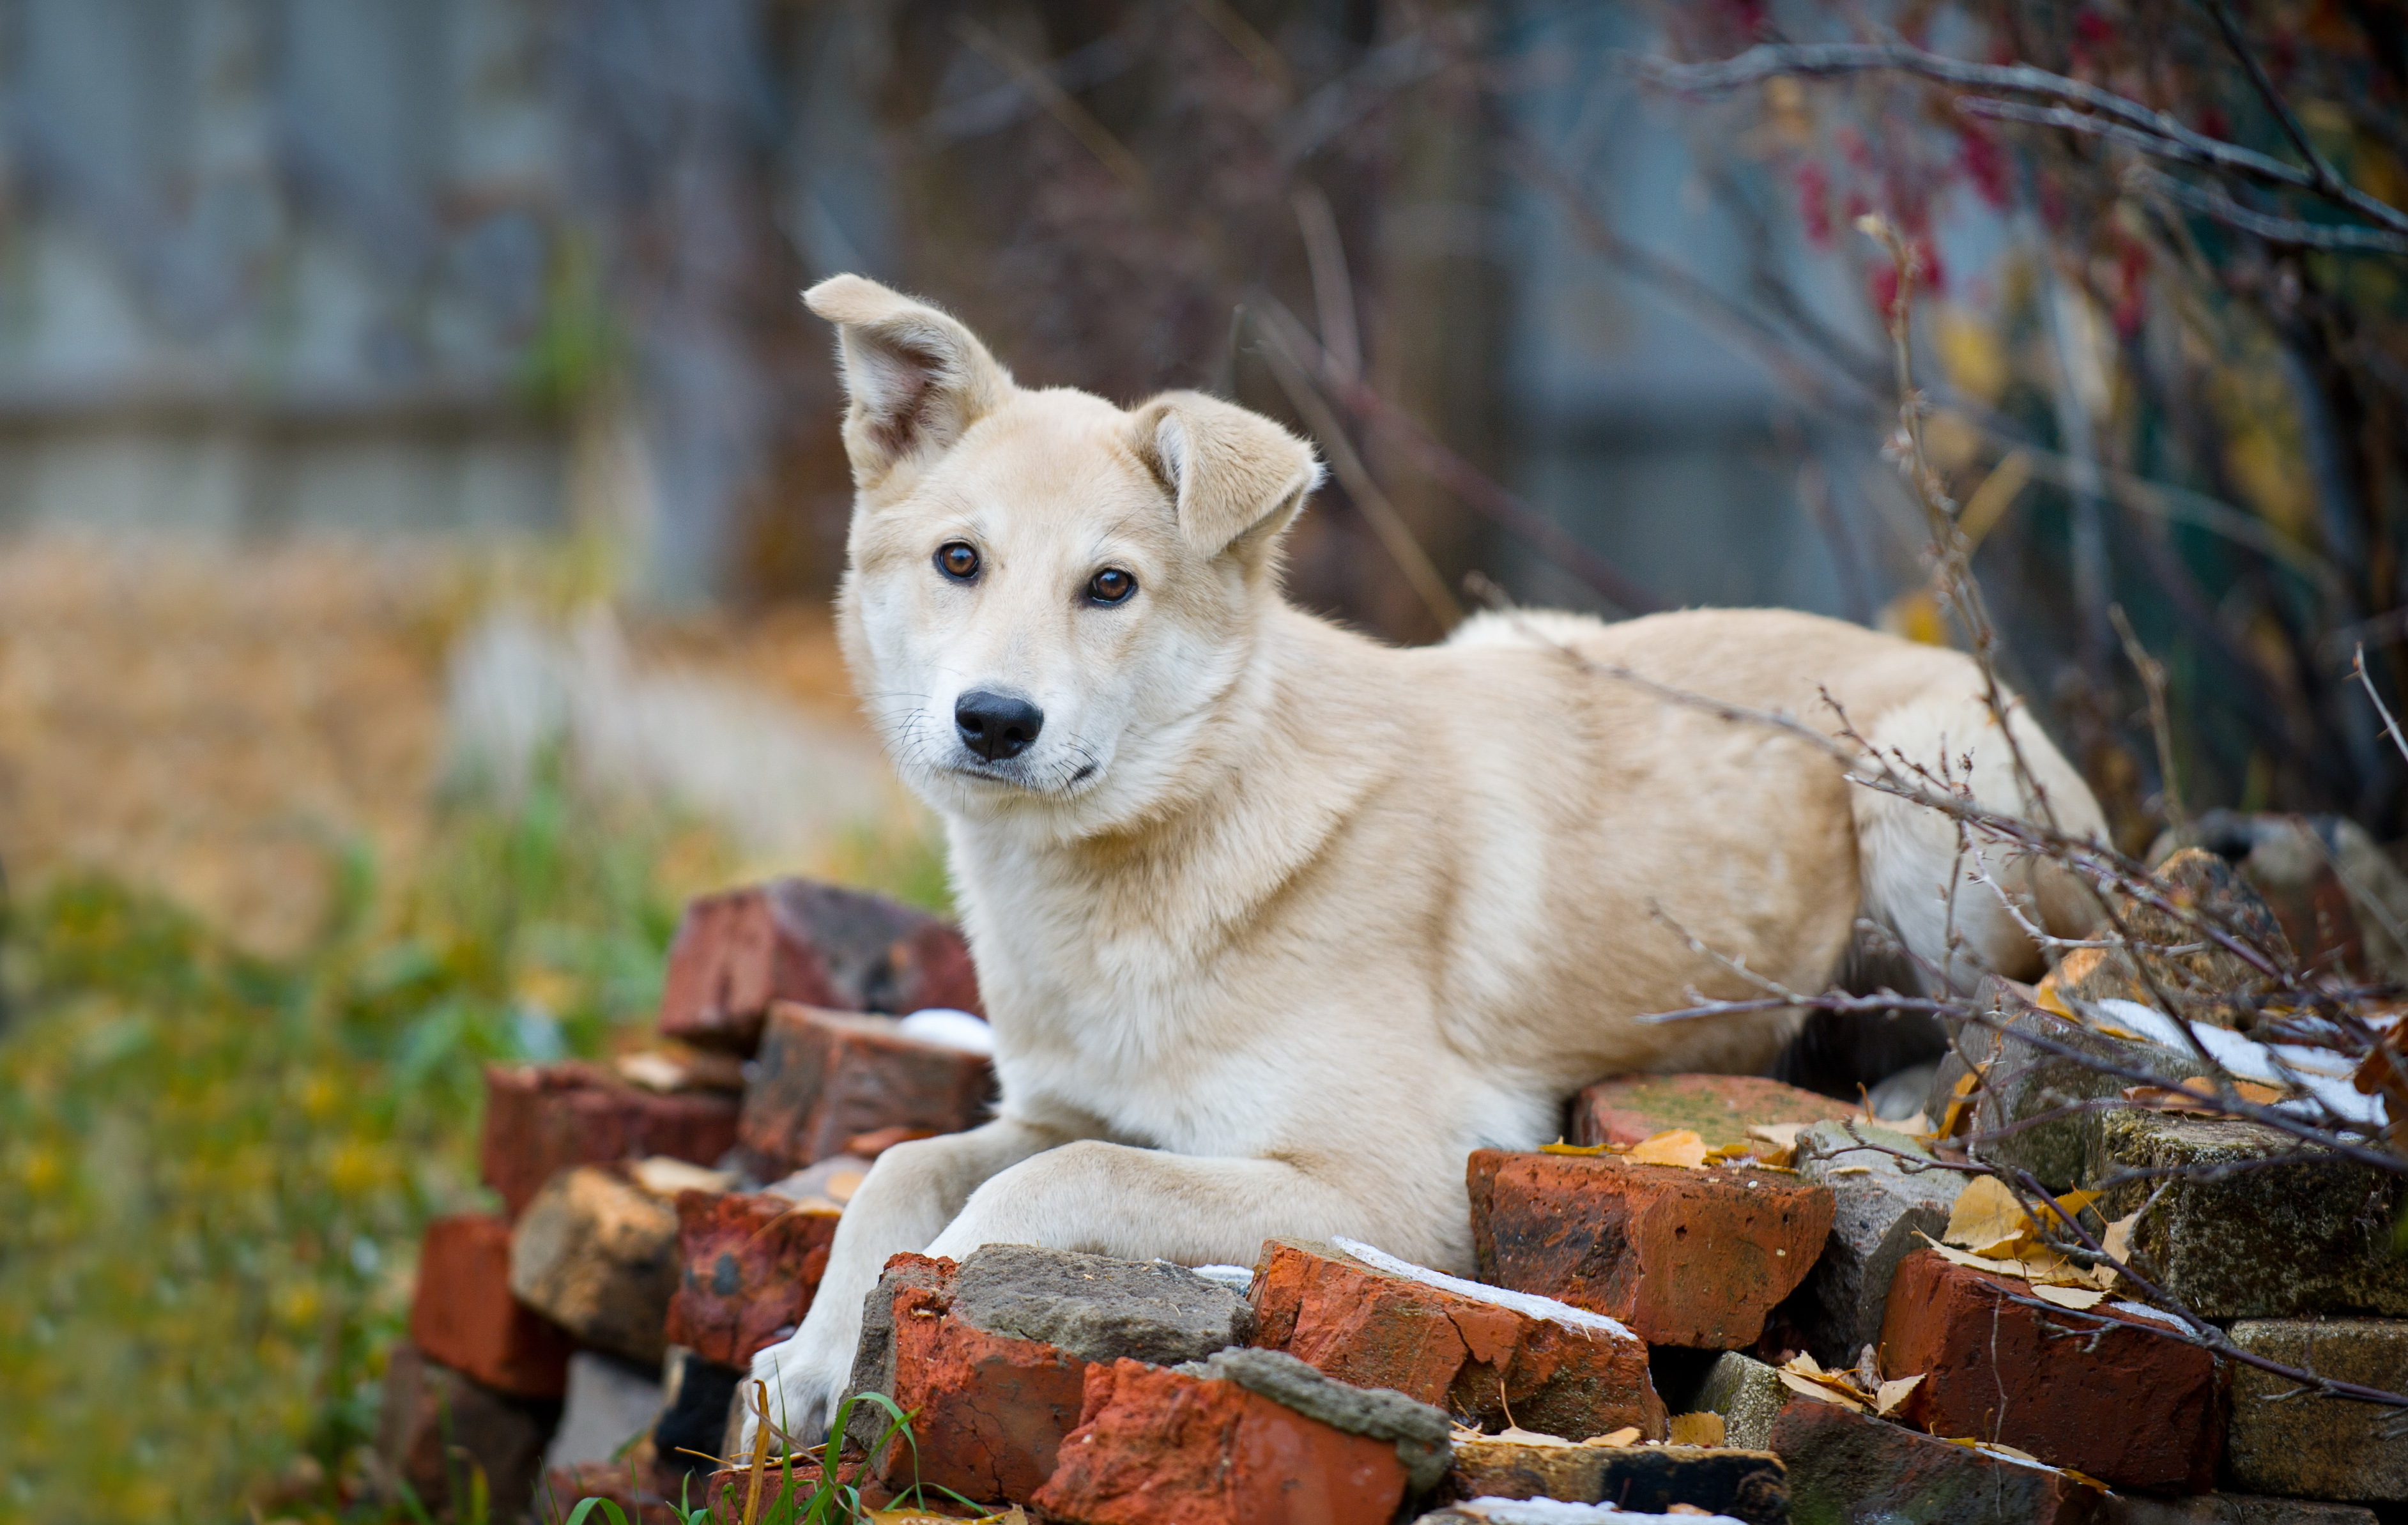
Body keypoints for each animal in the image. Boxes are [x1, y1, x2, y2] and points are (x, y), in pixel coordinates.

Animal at [741, 277, 2099, 1436]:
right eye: (956, 562)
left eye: (1111, 587)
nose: (992, 721)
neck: (1170, 834)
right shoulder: (1060, 1105)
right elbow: (902, 1165)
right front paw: (811, 1355)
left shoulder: (1399, 1186)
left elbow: (1050, 1184)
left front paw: (903, 1312)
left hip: (1918, 809)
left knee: (2016, 1005)